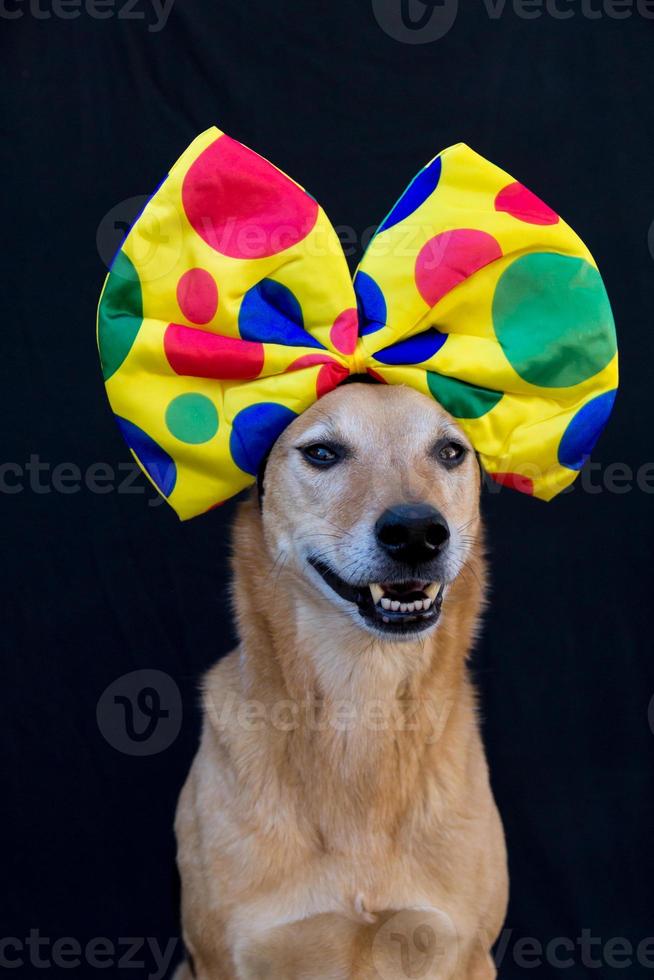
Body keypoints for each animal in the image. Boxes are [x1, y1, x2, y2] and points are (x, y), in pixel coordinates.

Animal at [173, 382, 508, 980]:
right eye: (323, 453)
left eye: (450, 451)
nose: (417, 532)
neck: (361, 705)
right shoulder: (220, 959)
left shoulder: (464, 953)